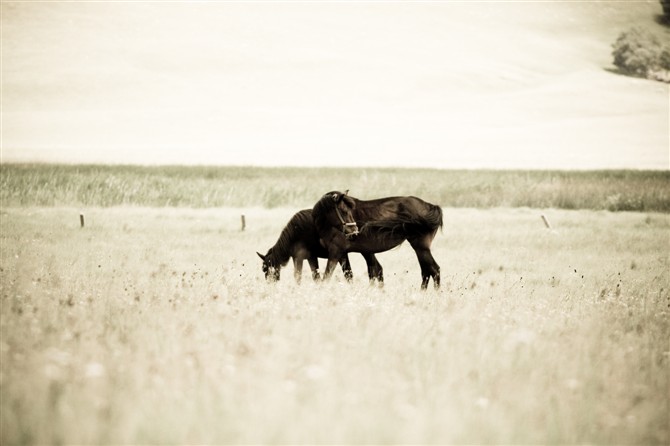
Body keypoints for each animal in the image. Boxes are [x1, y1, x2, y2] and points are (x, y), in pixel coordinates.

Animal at [312, 191, 444, 290]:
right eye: (344, 212)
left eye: (348, 211)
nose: (354, 232)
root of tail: (431, 206)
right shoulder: (343, 254)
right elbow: (349, 275)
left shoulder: (336, 252)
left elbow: (327, 276)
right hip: (420, 249)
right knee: (426, 271)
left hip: (421, 247)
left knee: (434, 270)